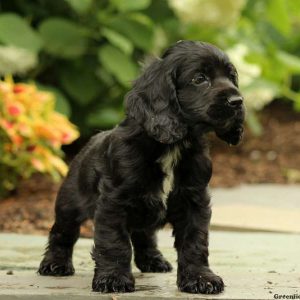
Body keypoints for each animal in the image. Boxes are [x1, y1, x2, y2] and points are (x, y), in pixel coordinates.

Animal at [38, 41, 245, 294]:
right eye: (199, 78)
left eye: (232, 77)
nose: (237, 101)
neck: (171, 146)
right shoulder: (113, 203)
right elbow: (115, 243)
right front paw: (113, 279)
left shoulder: (194, 201)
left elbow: (195, 242)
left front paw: (200, 278)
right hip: (70, 202)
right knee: (62, 233)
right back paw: (55, 264)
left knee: (144, 235)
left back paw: (153, 260)